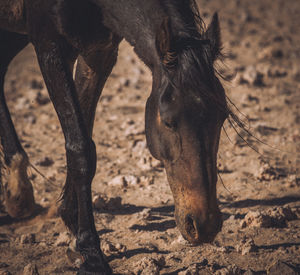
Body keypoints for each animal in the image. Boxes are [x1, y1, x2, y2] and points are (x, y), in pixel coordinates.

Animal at [0, 0, 230, 274]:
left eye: (223, 116)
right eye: (168, 121)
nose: (204, 225)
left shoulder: (99, 52)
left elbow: (84, 140)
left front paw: (73, 229)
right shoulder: (50, 47)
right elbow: (80, 148)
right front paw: (91, 252)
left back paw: (18, 192)